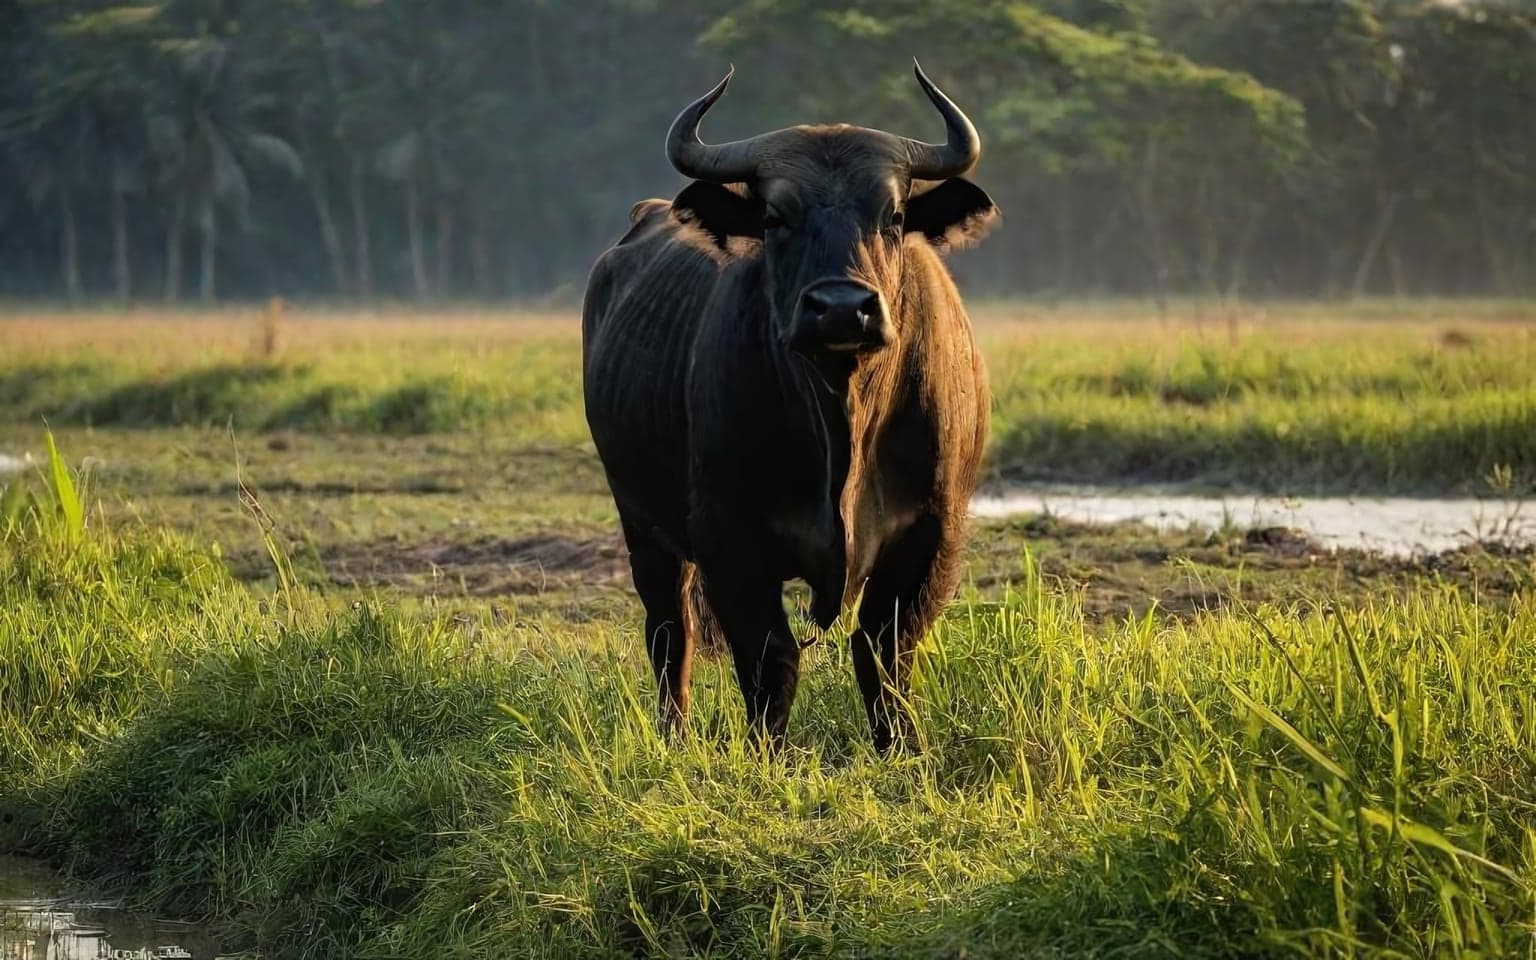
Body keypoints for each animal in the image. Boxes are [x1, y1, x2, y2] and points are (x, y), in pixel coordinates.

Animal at [582, 63, 996, 751]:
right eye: (776, 217)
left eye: (894, 214)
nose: (841, 308)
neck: (843, 414)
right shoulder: (729, 534)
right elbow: (769, 656)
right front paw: (765, 752)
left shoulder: (933, 528)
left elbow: (885, 647)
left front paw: (901, 748)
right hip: (639, 519)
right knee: (670, 630)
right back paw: (675, 733)